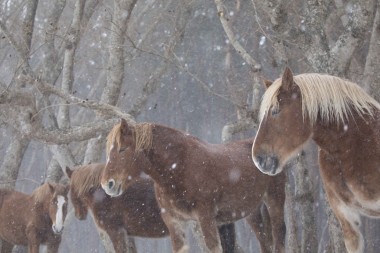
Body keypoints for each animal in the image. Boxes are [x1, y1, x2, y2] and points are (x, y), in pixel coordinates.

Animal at [100, 119, 284, 253]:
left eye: (122, 149)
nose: (108, 183)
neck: (179, 167)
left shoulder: (206, 218)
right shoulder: (174, 222)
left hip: (274, 202)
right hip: (252, 213)